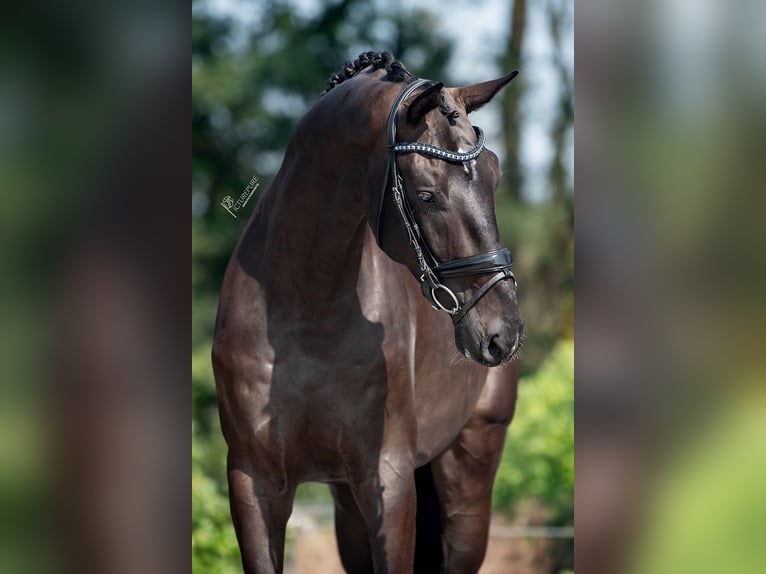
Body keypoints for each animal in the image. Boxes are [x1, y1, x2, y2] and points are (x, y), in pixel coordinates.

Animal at [213, 51, 524, 572]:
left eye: (495, 174)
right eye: (426, 194)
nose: (504, 333)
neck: (307, 309)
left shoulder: (388, 480)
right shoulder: (254, 482)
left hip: (469, 478)